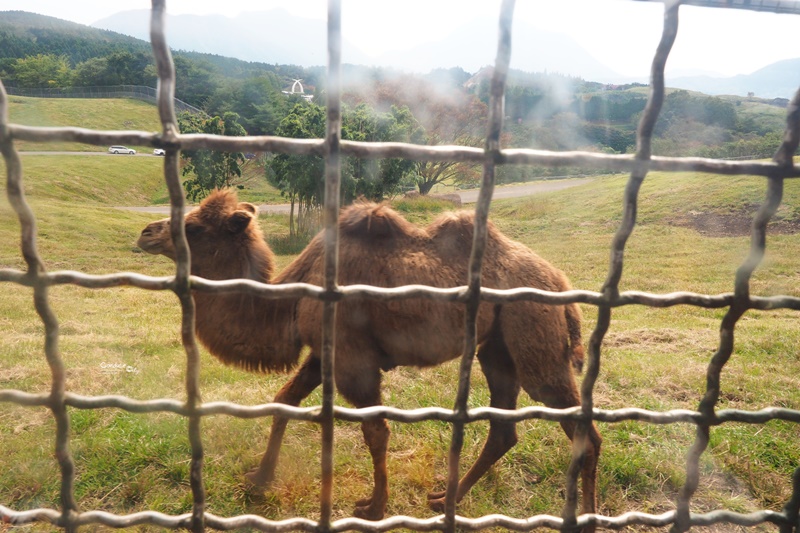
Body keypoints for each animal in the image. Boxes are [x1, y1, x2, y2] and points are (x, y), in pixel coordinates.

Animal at [138, 187, 600, 524]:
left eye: (194, 227)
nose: (146, 232)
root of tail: (561, 284)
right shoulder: (323, 354)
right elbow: (284, 401)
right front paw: (259, 479)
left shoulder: (352, 358)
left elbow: (375, 430)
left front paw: (373, 507)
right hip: (498, 349)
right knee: (504, 429)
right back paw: (442, 499)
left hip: (535, 338)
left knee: (583, 430)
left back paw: (588, 513)